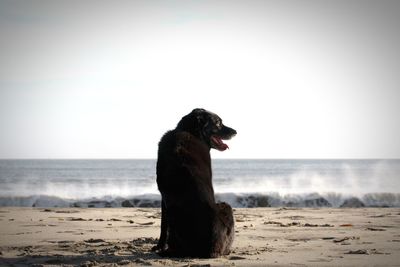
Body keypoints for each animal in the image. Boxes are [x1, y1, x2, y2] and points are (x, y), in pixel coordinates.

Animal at [152, 108, 234, 258]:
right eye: (218, 123)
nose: (235, 131)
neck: (191, 132)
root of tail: (210, 248)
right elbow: (163, 226)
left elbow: (163, 225)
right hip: (226, 207)